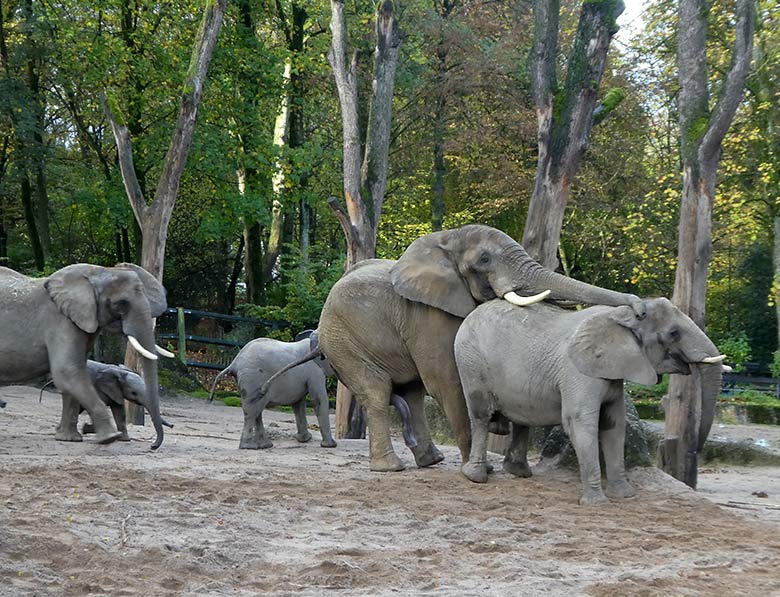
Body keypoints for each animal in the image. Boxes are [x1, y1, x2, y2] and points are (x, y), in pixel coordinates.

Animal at [41, 360, 174, 440]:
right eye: (134, 393)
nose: (172, 425)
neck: (120, 371)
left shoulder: (117, 391)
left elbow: (119, 411)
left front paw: (124, 439)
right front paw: (88, 429)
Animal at [207, 332, 338, 450]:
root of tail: (234, 363)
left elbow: (298, 404)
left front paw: (304, 439)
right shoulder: (315, 372)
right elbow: (319, 400)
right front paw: (330, 445)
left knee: (256, 410)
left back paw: (264, 445)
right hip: (253, 378)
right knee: (252, 411)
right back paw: (249, 447)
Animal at [454, 298, 728, 502]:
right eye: (673, 333)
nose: (698, 451)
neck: (620, 317)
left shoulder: (613, 374)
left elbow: (614, 425)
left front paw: (624, 496)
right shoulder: (578, 372)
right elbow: (581, 422)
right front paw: (597, 502)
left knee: (521, 419)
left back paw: (519, 473)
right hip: (470, 362)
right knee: (480, 414)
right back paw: (476, 476)